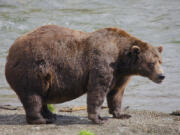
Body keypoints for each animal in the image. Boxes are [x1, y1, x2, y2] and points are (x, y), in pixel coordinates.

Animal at [4, 24, 165, 124]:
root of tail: (10, 51)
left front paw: (122, 114)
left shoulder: (120, 74)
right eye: (151, 63)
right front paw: (99, 119)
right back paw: (41, 119)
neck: (121, 59)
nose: (162, 76)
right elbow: (97, 90)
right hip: (33, 68)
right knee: (33, 96)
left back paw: (51, 115)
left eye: (160, 61)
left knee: (42, 95)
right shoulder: (102, 63)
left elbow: (116, 93)